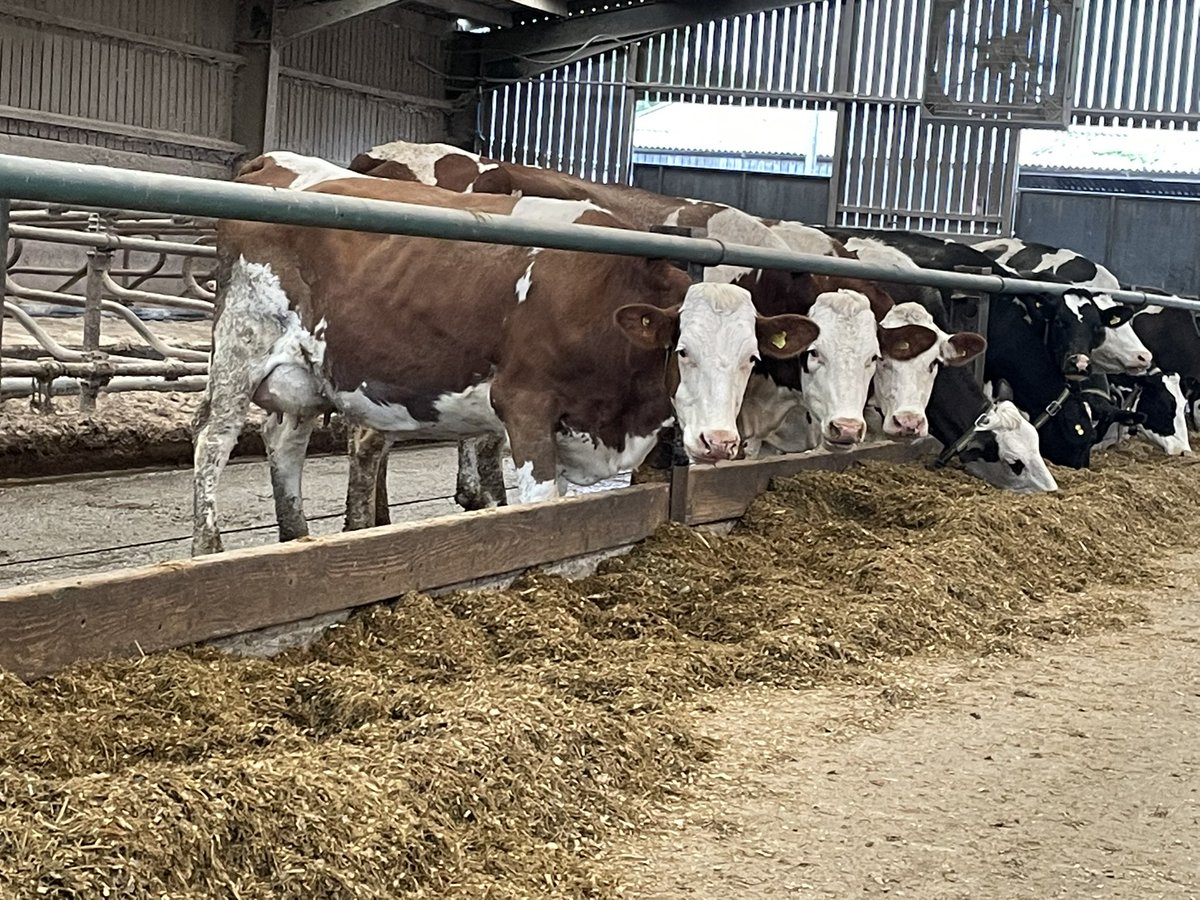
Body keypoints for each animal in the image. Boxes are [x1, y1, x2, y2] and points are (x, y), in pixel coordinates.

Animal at [191, 161, 817, 555]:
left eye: (751, 358)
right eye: (681, 351)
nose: (719, 442)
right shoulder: (525, 407)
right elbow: (538, 504)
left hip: (304, 374)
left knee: (284, 442)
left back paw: (297, 539)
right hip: (240, 345)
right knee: (212, 441)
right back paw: (208, 549)